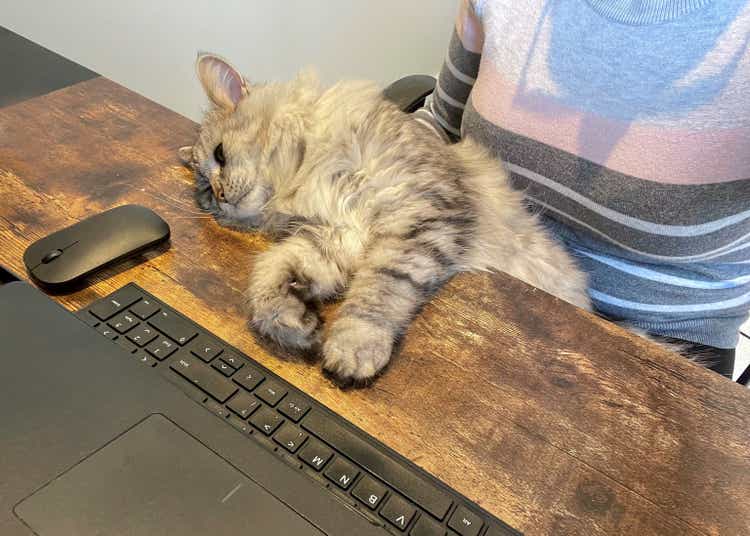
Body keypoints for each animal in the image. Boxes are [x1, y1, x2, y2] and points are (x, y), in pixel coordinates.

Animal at [179, 54, 592, 386]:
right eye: (205, 191)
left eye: (220, 155)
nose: (220, 196)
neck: (308, 170)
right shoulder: (337, 234)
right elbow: (271, 269)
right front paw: (289, 318)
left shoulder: (418, 213)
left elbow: (379, 289)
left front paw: (353, 346)